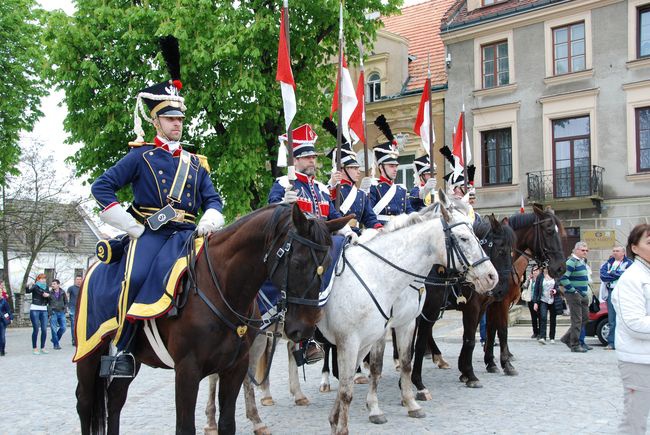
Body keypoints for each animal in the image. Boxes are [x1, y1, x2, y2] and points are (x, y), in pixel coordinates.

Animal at [73, 204, 352, 435]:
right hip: (89, 353)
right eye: (297, 262)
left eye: (328, 263)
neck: (223, 288)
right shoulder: (187, 370)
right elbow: (185, 428)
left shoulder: (234, 367)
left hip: (134, 360)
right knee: (85, 402)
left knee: (115, 399)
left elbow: (227, 424)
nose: (304, 329)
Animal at [318, 192, 496, 435]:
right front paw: (375, 408)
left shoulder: (408, 322)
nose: (492, 277)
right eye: (463, 238)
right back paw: (323, 381)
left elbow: (406, 360)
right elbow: (377, 366)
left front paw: (410, 401)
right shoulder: (381, 330)